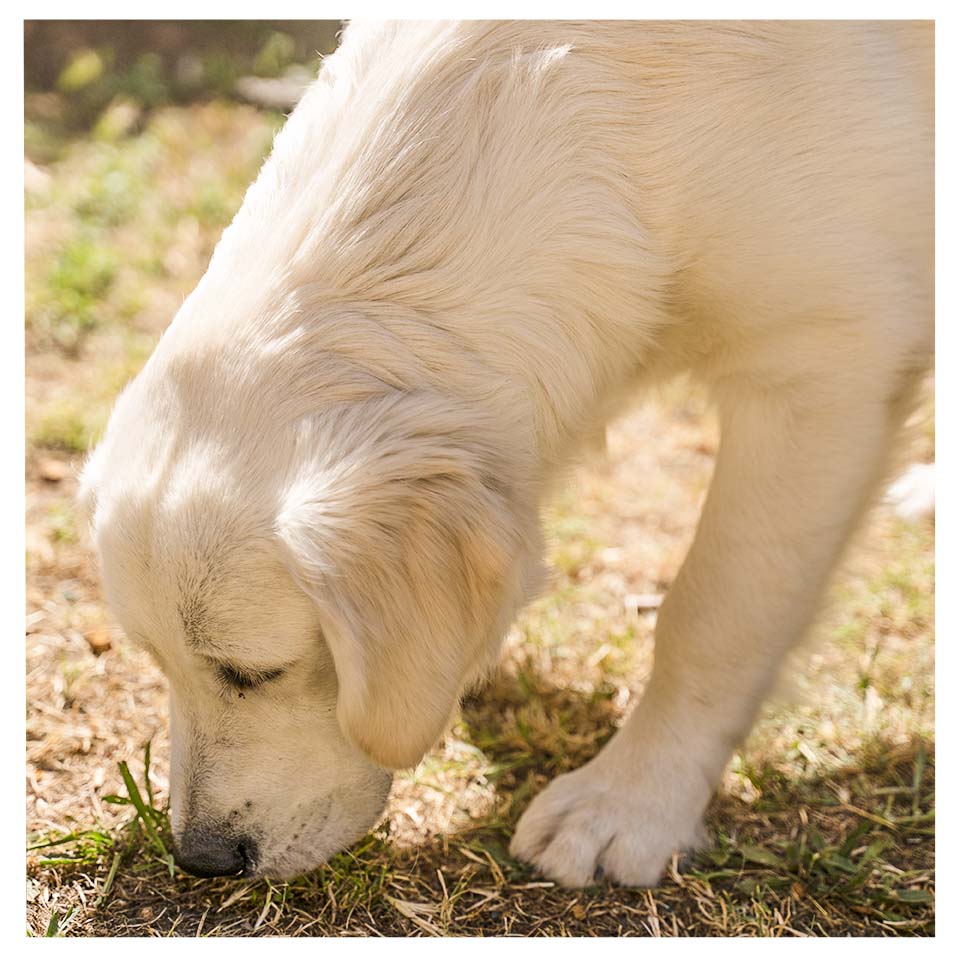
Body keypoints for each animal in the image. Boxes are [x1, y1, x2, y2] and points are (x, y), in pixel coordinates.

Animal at [79, 22, 932, 888]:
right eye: (157, 662)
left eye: (254, 673)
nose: (202, 858)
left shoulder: (820, 366)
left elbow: (712, 612)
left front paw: (630, 801)